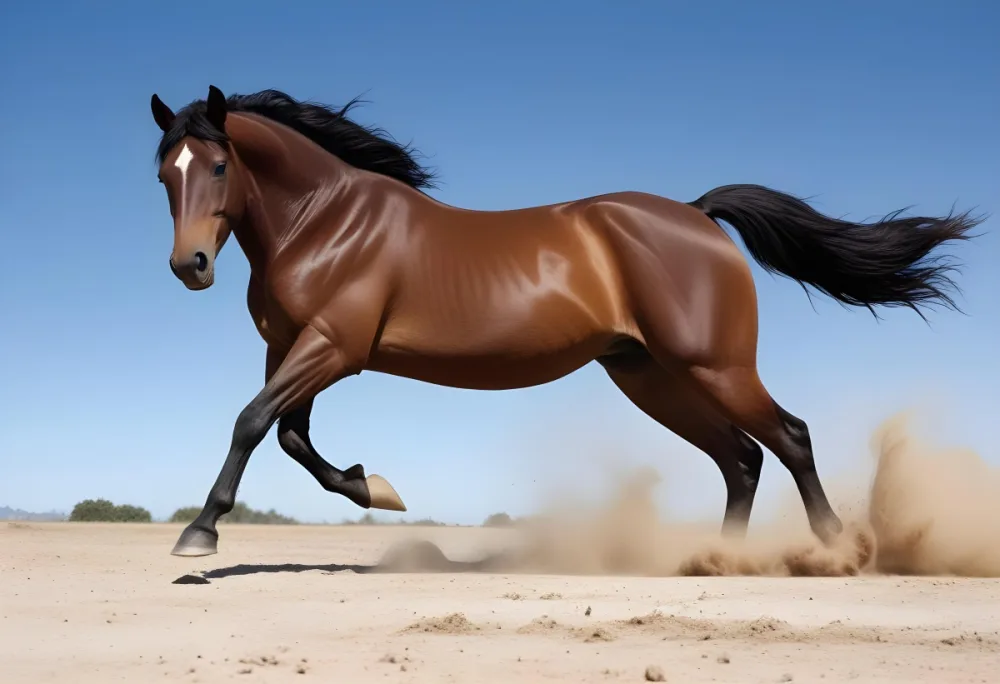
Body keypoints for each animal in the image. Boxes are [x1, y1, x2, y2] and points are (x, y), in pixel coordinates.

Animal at [150, 85, 981, 557]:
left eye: (218, 166)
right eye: (165, 173)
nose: (190, 266)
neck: (325, 222)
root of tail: (699, 215)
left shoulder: (331, 348)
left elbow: (252, 423)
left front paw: (199, 534)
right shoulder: (294, 350)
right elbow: (291, 437)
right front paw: (375, 488)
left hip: (714, 366)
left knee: (790, 438)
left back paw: (837, 549)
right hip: (649, 376)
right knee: (741, 458)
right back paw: (726, 563)